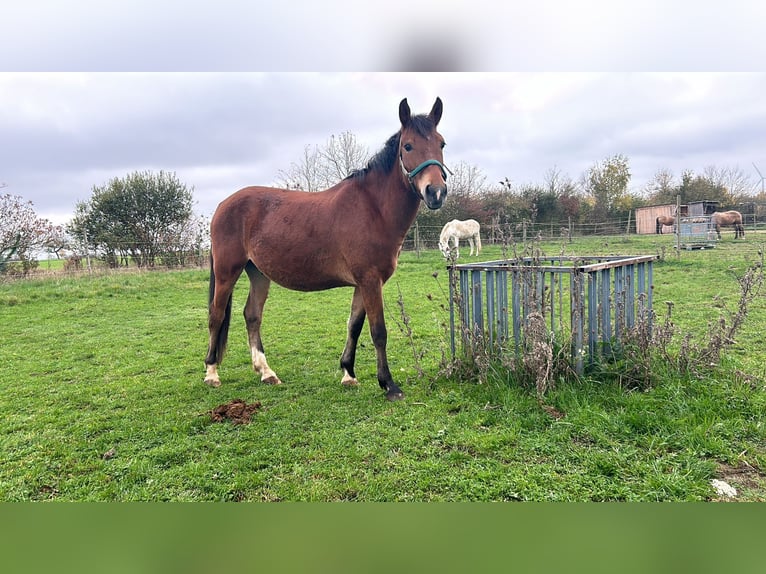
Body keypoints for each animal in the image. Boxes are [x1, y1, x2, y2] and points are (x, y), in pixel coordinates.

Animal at [207, 98, 452, 400]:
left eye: (441, 144)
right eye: (407, 146)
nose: (436, 192)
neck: (373, 208)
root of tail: (223, 204)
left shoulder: (363, 283)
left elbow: (354, 326)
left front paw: (349, 373)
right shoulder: (370, 280)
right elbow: (378, 331)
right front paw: (389, 384)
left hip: (258, 273)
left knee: (252, 315)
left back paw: (266, 372)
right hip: (227, 271)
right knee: (216, 315)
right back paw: (211, 373)